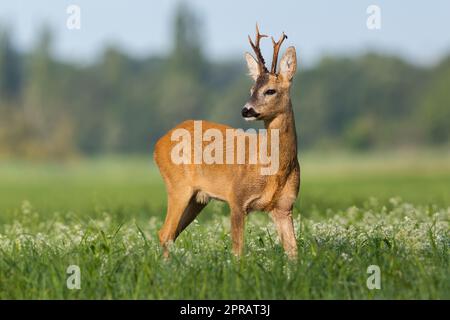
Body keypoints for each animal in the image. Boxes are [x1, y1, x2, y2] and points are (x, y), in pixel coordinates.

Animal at [153, 25, 300, 260]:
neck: (273, 171)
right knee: (165, 233)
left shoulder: (284, 207)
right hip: (177, 186)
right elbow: (238, 251)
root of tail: (158, 143)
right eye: (251, 90)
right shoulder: (237, 198)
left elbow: (293, 251)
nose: (246, 110)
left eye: (270, 90)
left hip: (197, 198)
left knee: (171, 234)